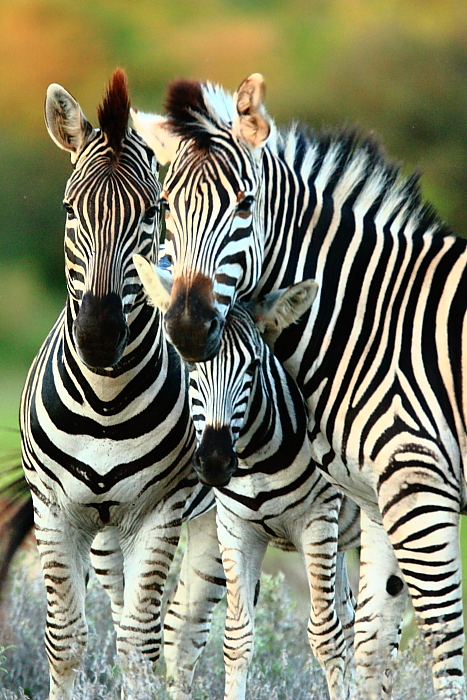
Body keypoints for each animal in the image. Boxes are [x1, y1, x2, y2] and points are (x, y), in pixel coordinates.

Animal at [16, 70, 226, 700]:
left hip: (217, 523)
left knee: (187, 640)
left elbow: (140, 644)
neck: (105, 403)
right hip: (108, 538)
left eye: (153, 211)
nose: (99, 335)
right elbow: (66, 641)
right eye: (69, 207)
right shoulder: (55, 510)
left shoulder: (161, 511)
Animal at [134, 252, 359, 700]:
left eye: (254, 366)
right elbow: (237, 636)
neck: (259, 460)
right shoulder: (236, 527)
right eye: (190, 368)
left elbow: (326, 637)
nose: (215, 463)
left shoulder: (317, 521)